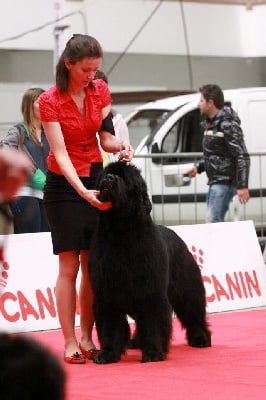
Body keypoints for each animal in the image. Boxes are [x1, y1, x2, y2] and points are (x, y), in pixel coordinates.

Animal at [88, 161, 211, 364]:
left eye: (124, 178)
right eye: (106, 174)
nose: (109, 178)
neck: (119, 232)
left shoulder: (151, 293)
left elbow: (153, 323)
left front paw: (153, 353)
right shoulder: (107, 295)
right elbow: (110, 326)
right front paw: (107, 353)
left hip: (186, 289)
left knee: (193, 312)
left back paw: (201, 338)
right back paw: (136, 342)